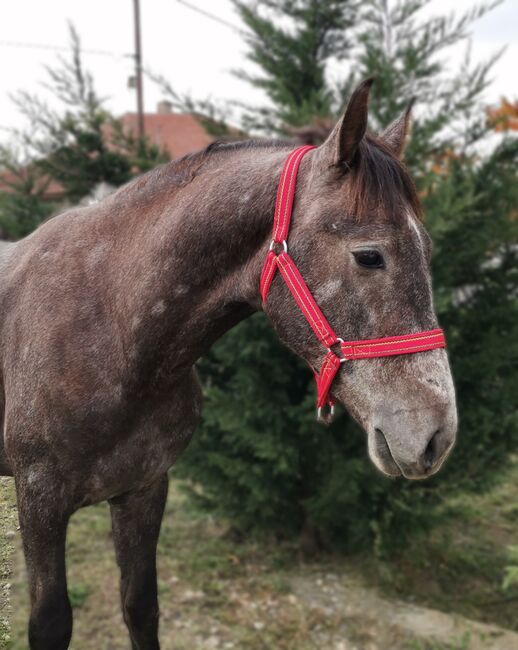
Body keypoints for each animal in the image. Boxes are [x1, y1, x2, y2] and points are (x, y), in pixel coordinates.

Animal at [0, 81, 456, 648]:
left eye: (428, 249)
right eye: (369, 255)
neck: (110, 328)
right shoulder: (39, 501)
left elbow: (140, 605)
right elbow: (51, 623)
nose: (437, 435)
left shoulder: (144, 488)